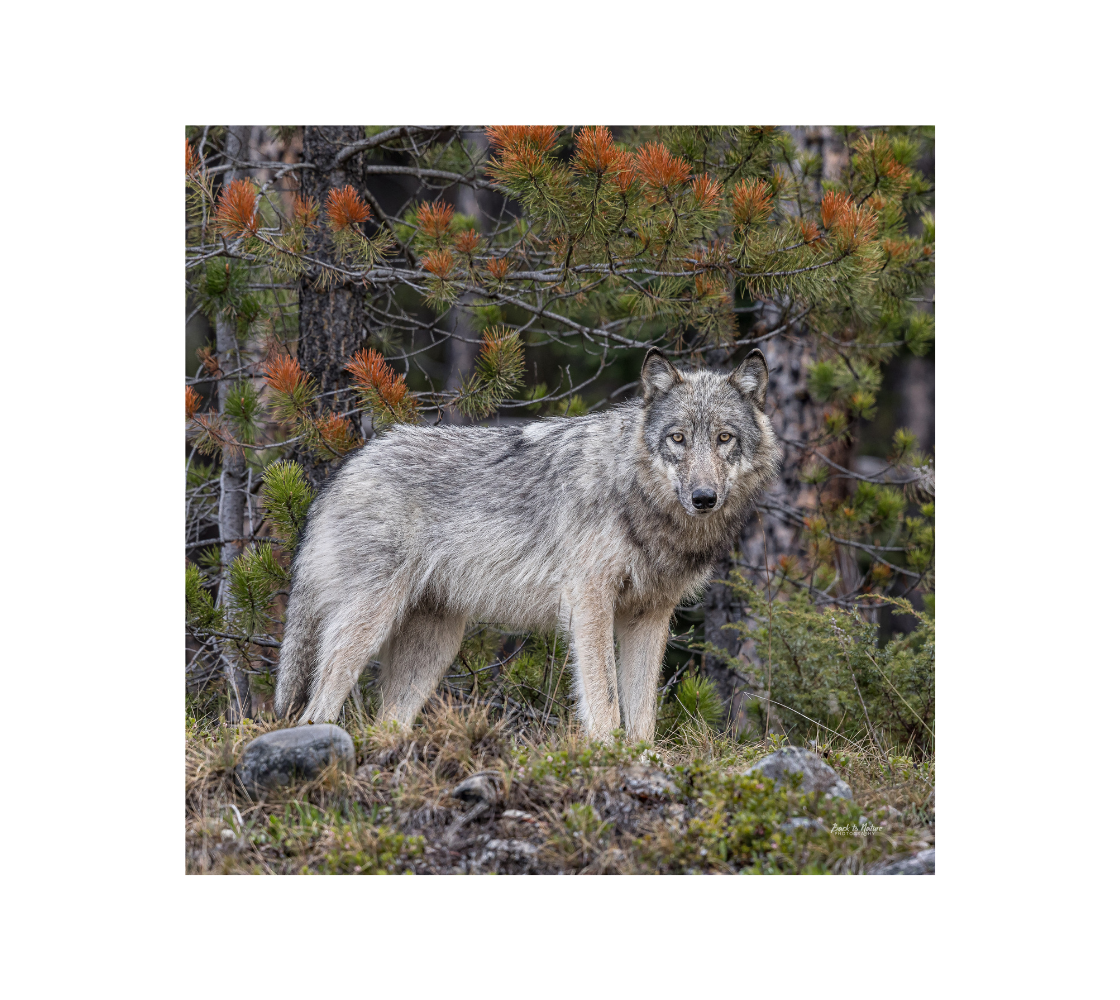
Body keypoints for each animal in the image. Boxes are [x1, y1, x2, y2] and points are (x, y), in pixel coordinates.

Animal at [274, 347, 780, 740]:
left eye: (724, 438)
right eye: (678, 438)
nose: (703, 498)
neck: (636, 495)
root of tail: (342, 472)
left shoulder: (650, 615)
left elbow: (642, 714)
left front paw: (642, 757)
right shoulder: (589, 601)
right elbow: (604, 697)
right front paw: (608, 752)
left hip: (433, 648)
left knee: (387, 722)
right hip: (368, 624)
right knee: (315, 707)